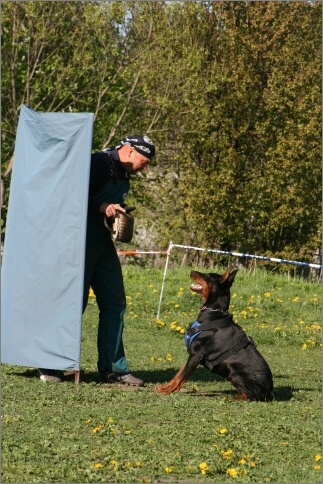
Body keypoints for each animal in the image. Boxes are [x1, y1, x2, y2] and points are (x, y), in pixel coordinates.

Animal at [156, 268, 274, 400]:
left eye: (207, 276)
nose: (191, 271)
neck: (213, 313)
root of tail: (270, 392)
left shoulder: (197, 354)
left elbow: (181, 376)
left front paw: (167, 391)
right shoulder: (193, 355)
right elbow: (178, 374)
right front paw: (164, 387)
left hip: (234, 374)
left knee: (250, 396)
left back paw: (228, 397)